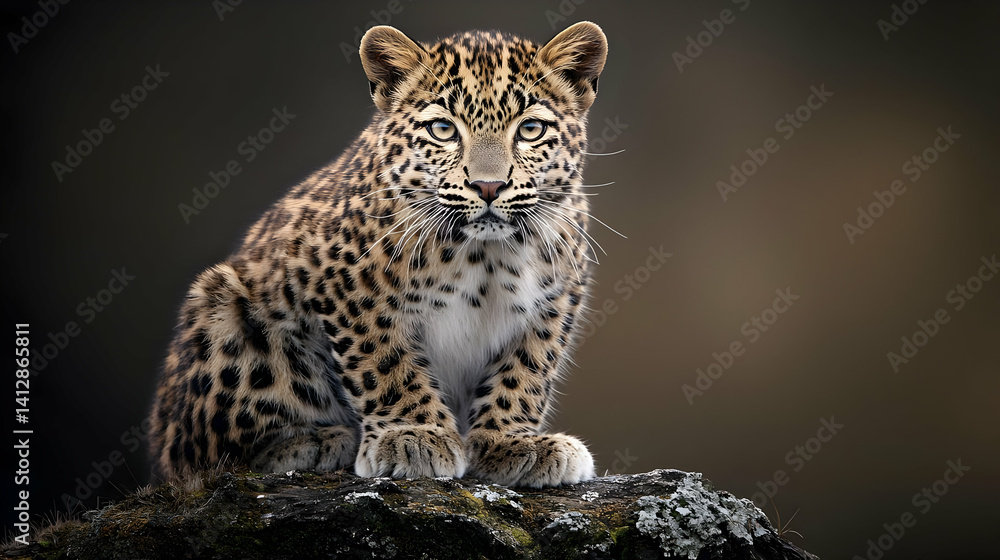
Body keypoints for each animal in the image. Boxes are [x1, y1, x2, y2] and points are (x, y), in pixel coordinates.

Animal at [148, 21, 609, 488]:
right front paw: (414, 435)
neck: (487, 255)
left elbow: (526, 372)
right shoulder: (338, 282)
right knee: (206, 455)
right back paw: (312, 442)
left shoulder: (554, 302)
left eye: (530, 129)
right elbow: (383, 362)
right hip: (222, 306)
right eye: (443, 130)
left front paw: (512, 442)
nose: (488, 186)